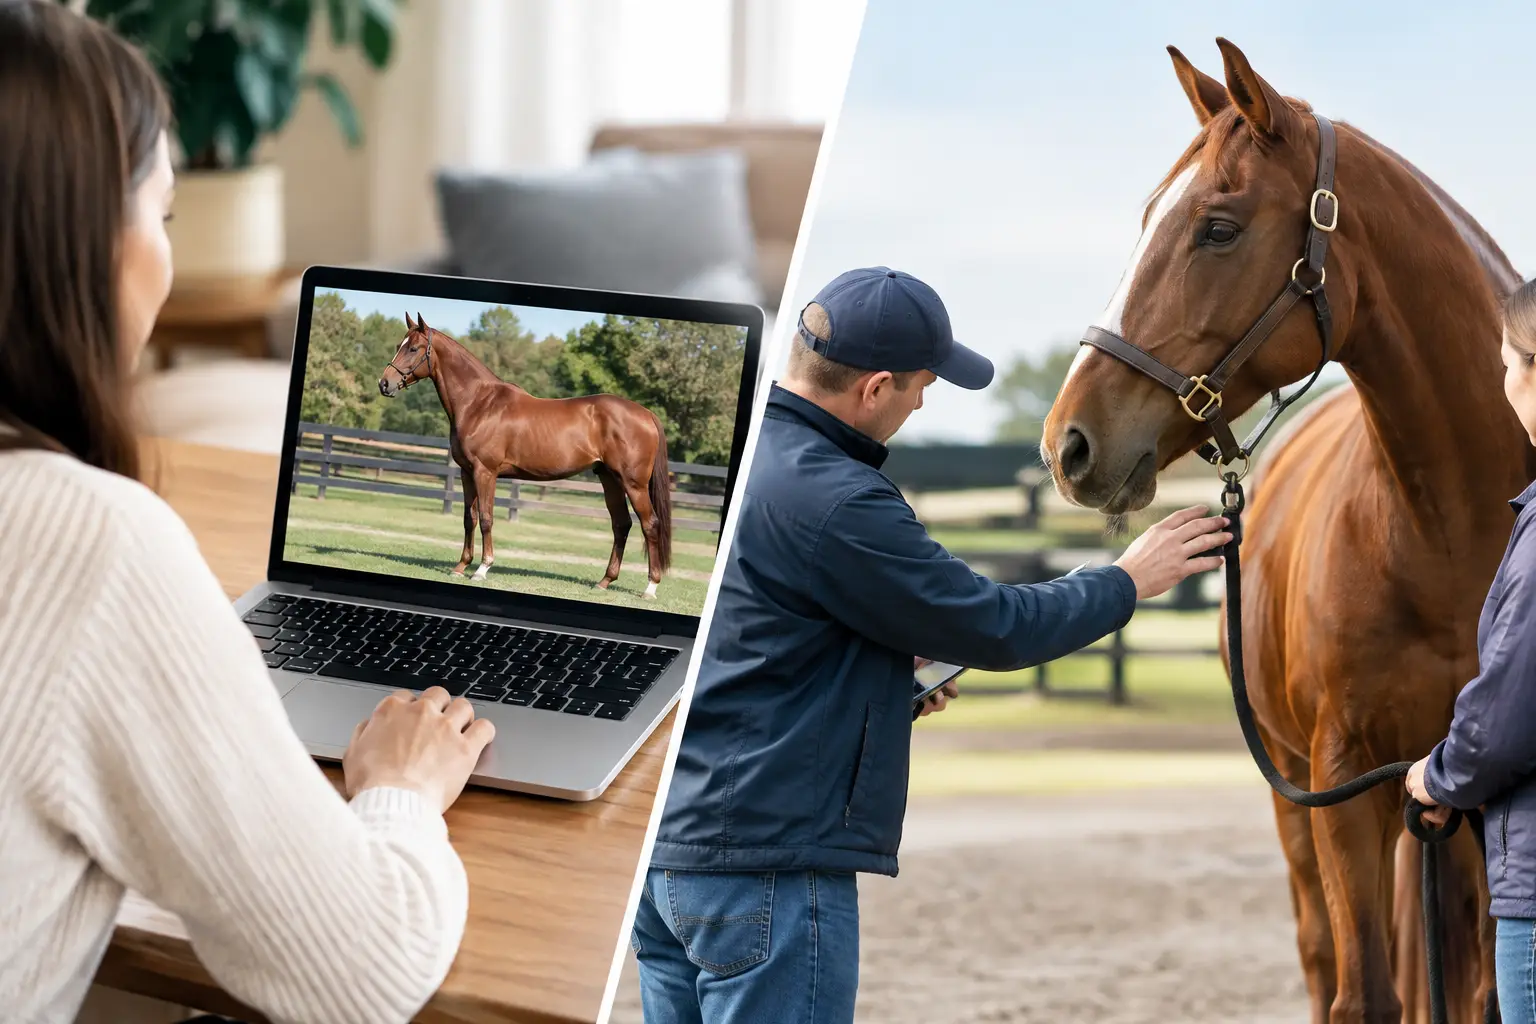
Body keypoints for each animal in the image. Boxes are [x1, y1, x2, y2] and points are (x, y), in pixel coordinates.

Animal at [377, 312, 673, 598]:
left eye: (413, 348)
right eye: (399, 345)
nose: (384, 383)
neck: (479, 403)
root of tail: (646, 414)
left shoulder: (485, 472)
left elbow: (486, 518)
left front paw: (482, 569)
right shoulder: (466, 472)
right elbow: (469, 518)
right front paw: (461, 566)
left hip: (633, 484)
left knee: (650, 524)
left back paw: (650, 588)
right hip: (609, 479)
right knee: (621, 525)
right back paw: (604, 582)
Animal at [1041, 38, 1533, 1024]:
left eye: (1219, 229)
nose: (1068, 442)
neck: (1451, 540)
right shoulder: (1344, 783)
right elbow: (1363, 994)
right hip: (1297, 797)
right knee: (1321, 956)